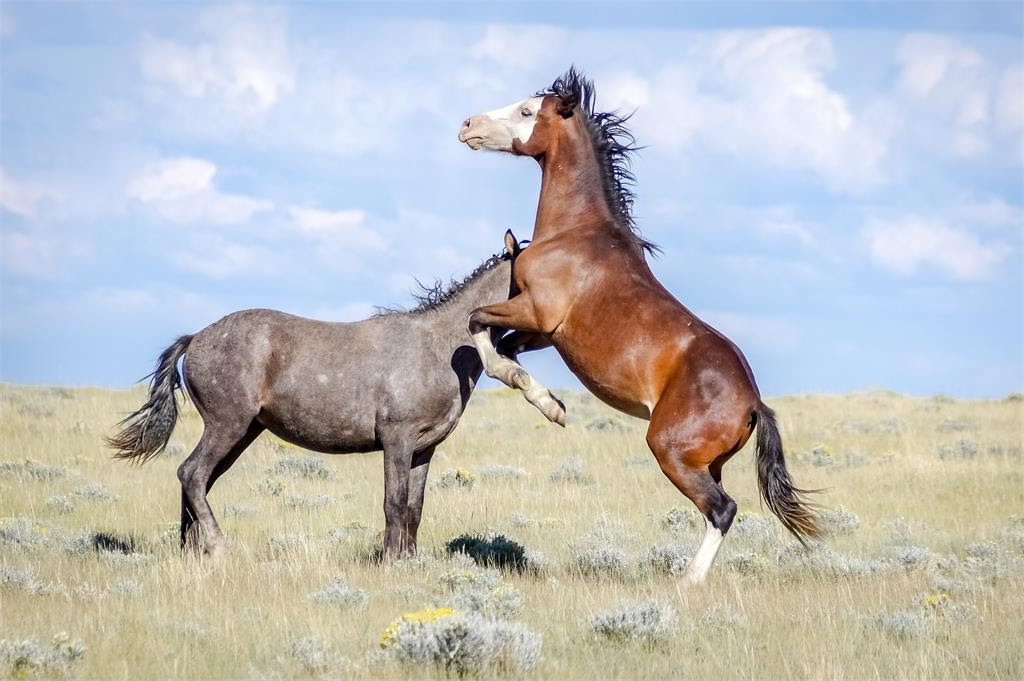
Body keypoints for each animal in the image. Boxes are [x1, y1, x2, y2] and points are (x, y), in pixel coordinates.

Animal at [109, 233, 524, 557]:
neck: (438, 346)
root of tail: (195, 338)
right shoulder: (398, 439)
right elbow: (394, 503)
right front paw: (391, 561)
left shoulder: (424, 447)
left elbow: (414, 508)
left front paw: (409, 559)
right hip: (227, 425)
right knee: (192, 475)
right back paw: (217, 548)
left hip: (243, 432)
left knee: (197, 481)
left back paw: (192, 554)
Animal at [460, 66, 819, 581]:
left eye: (528, 111)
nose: (467, 125)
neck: (575, 232)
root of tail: (754, 403)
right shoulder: (546, 334)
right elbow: (504, 346)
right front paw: (551, 404)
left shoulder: (536, 311)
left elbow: (478, 326)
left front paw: (542, 400)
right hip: (706, 463)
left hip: (669, 451)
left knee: (722, 509)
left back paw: (688, 583)